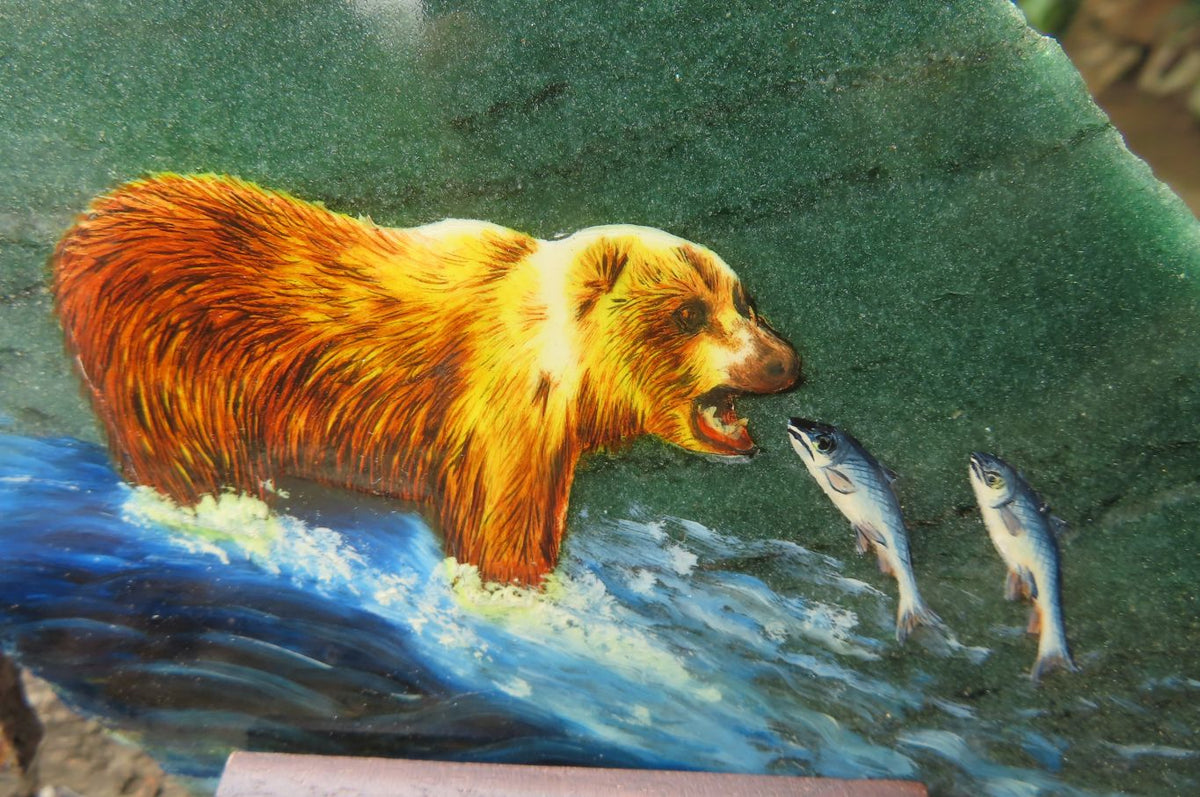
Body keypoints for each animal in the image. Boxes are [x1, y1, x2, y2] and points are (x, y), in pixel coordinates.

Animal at [51, 174, 801, 585]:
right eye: (688, 312)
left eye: (745, 301)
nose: (784, 362)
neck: (568, 375)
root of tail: (82, 227)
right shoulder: (499, 408)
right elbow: (501, 531)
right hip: (171, 357)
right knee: (191, 457)